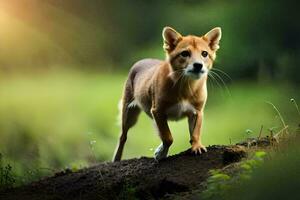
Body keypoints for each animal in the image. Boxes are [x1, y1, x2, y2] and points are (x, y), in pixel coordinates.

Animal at [112, 26, 220, 161]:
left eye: (204, 53)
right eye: (185, 53)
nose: (198, 65)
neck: (186, 86)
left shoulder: (197, 112)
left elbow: (195, 133)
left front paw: (197, 146)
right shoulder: (158, 111)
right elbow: (168, 137)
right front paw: (161, 153)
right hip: (129, 114)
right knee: (123, 136)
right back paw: (117, 158)